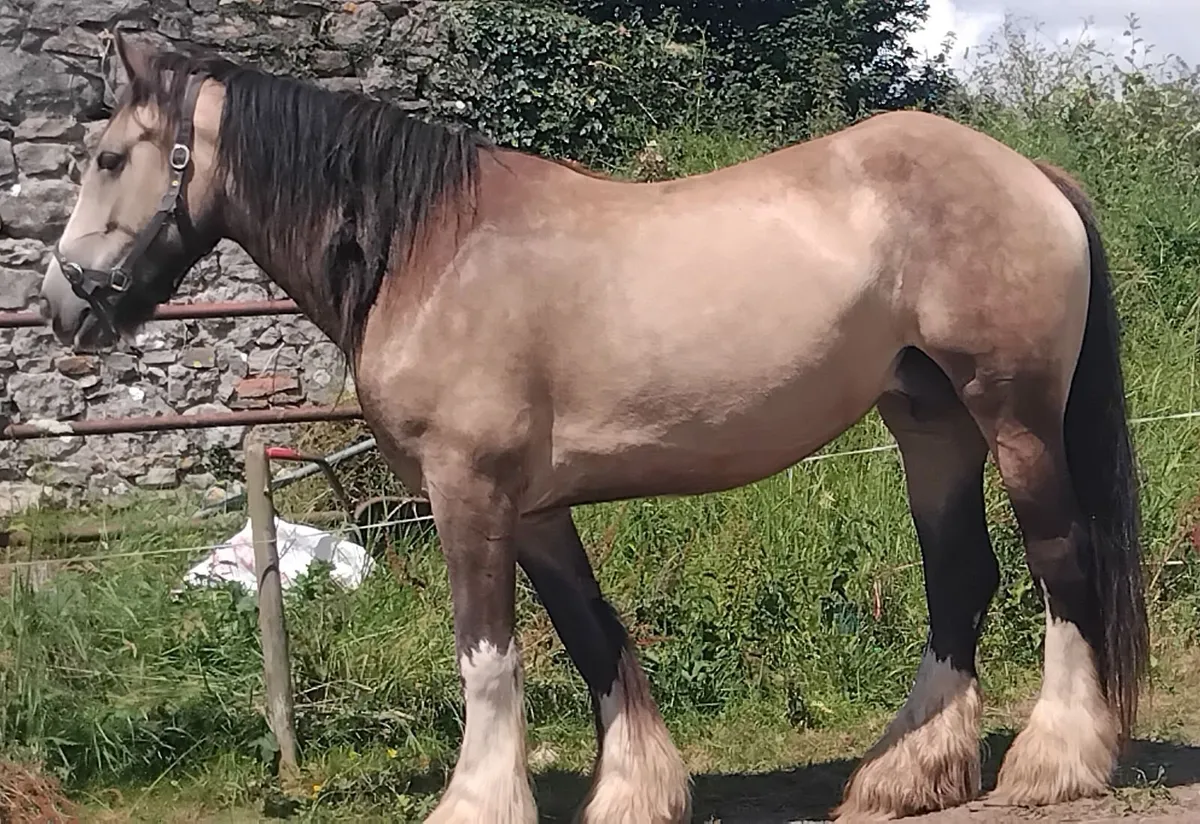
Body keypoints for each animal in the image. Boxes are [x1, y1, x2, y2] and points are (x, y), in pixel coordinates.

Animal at [38, 32, 1148, 824]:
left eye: (108, 156)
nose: (59, 304)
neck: (428, 251)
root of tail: (1031, 174)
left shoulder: (469, 490)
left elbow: (487, 654)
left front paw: (478, 802)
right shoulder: (534, 509)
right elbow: (590, 636)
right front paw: (638, 791)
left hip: (1015, 416)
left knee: (1059, 562)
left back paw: (1055, 761)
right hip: (928, 421)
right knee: (961, 574)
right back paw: (907, 773)